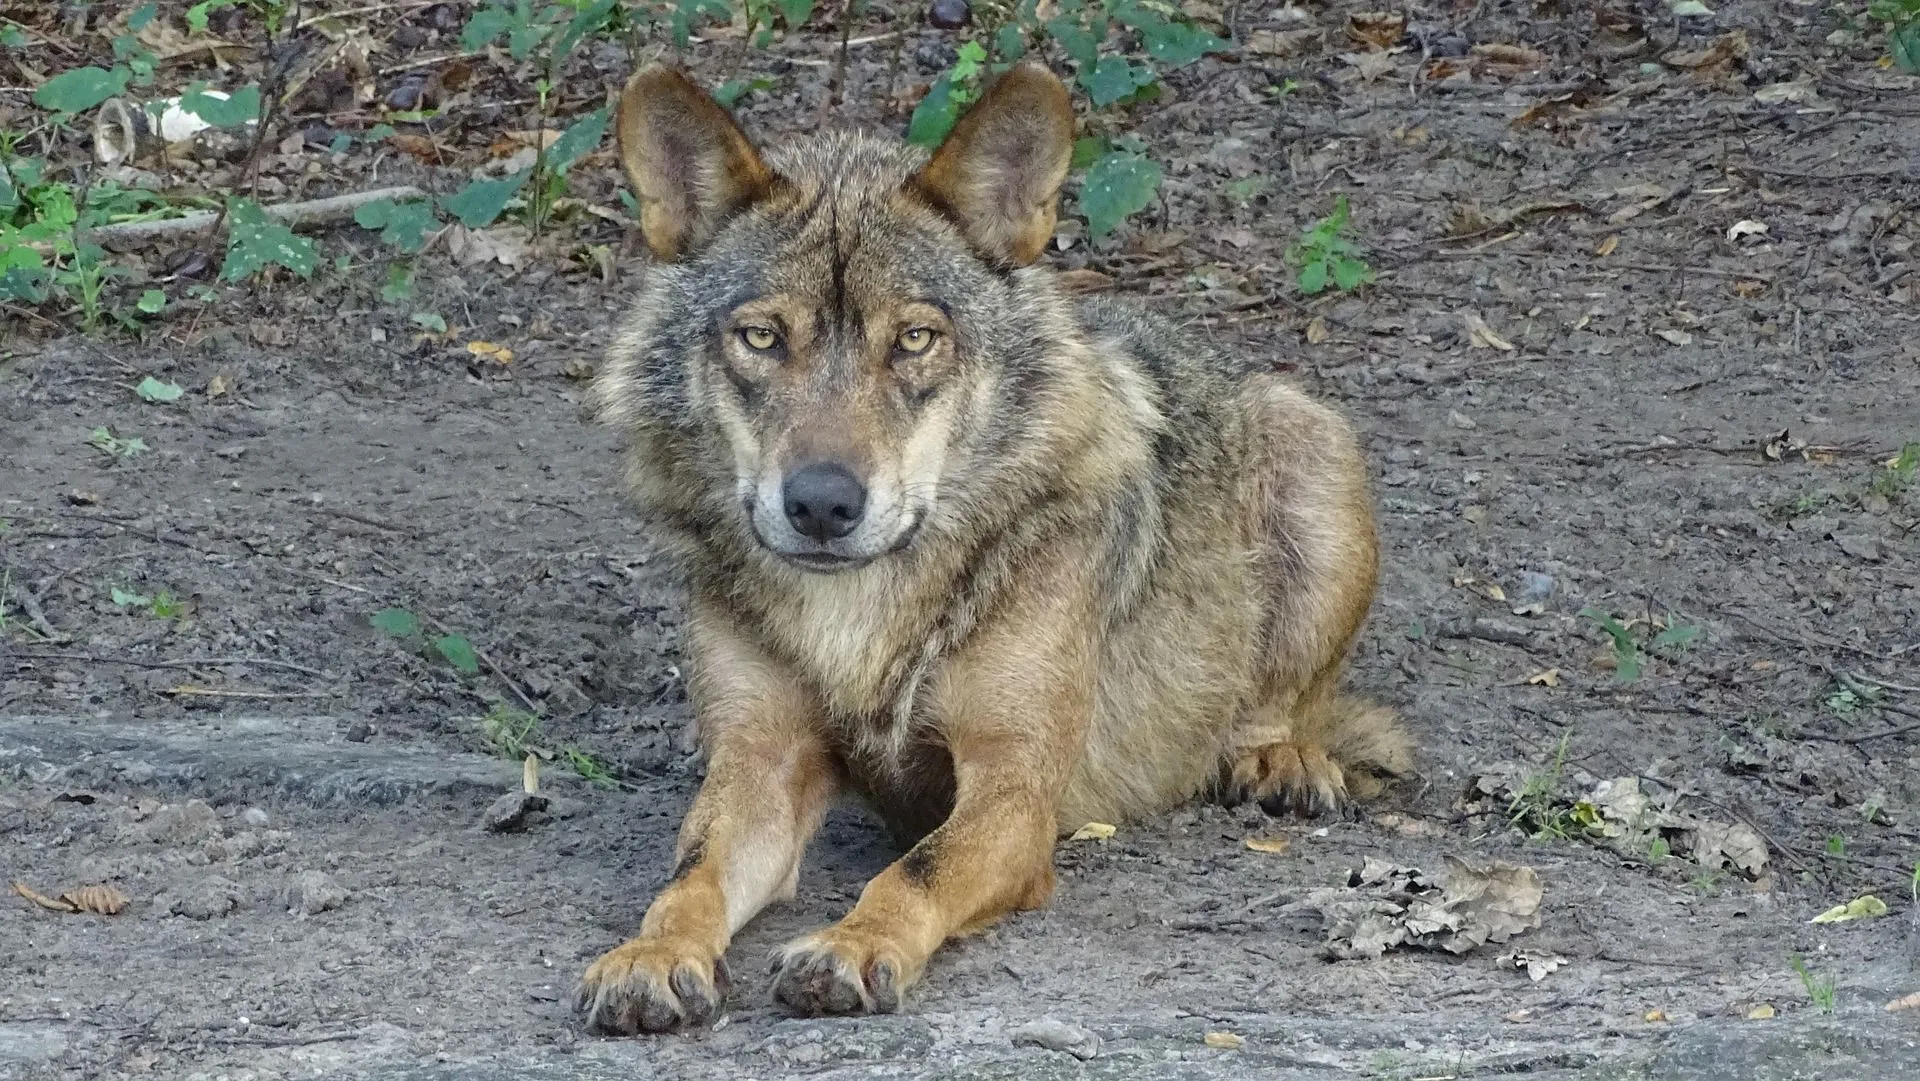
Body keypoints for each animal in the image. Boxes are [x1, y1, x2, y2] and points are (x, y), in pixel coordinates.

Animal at [572, 57, 1413, 1029]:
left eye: (914, 340)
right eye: (761, 336)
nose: (821, 503)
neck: (859, 614)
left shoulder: (1014, 789)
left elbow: (915, 871)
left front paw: (851, 945)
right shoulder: (758, 765)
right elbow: (690, 876)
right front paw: (651, 954)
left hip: (1312, 442)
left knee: (1287, 703)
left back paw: (1278, 758)